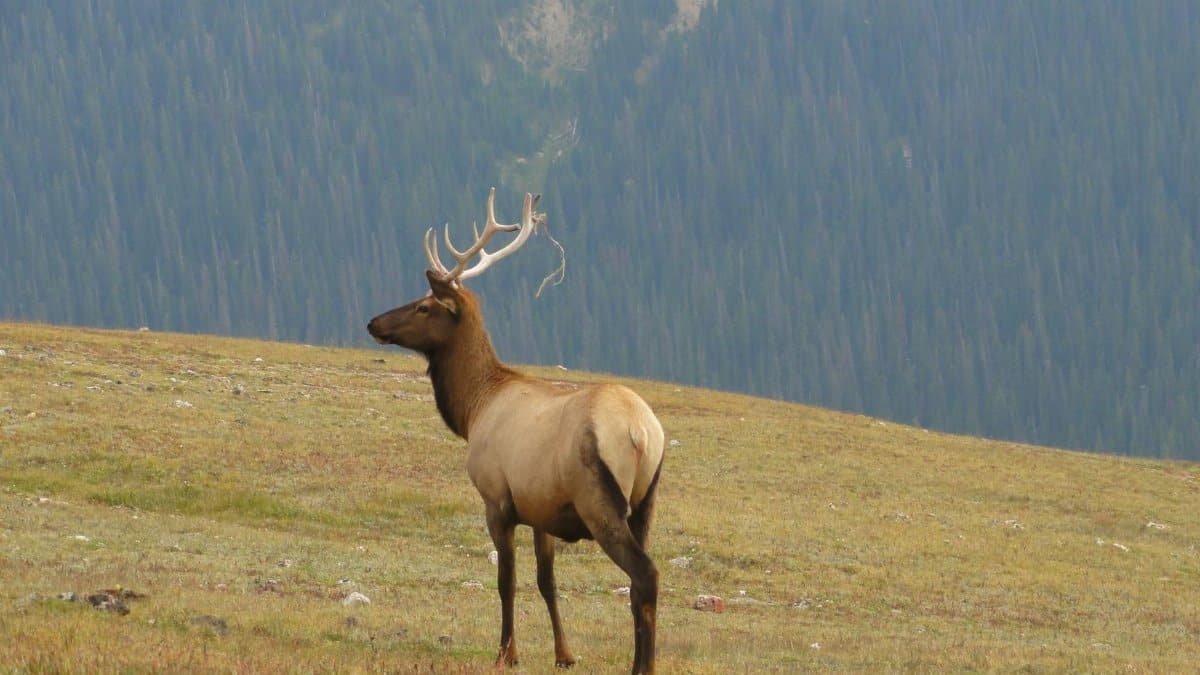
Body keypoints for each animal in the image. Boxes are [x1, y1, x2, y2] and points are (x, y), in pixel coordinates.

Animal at [367, 188, 665, 674]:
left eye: (424, 305)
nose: (373, 322)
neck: (474, 408)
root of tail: (642, 432)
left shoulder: (496, 499)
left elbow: (506, 579)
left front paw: (506, 651)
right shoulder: (541, 508)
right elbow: (547, 581)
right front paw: (564, 654)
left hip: (600, 500)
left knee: (646, 575)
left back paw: (641, 666)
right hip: (646, 503)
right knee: (640, 583)